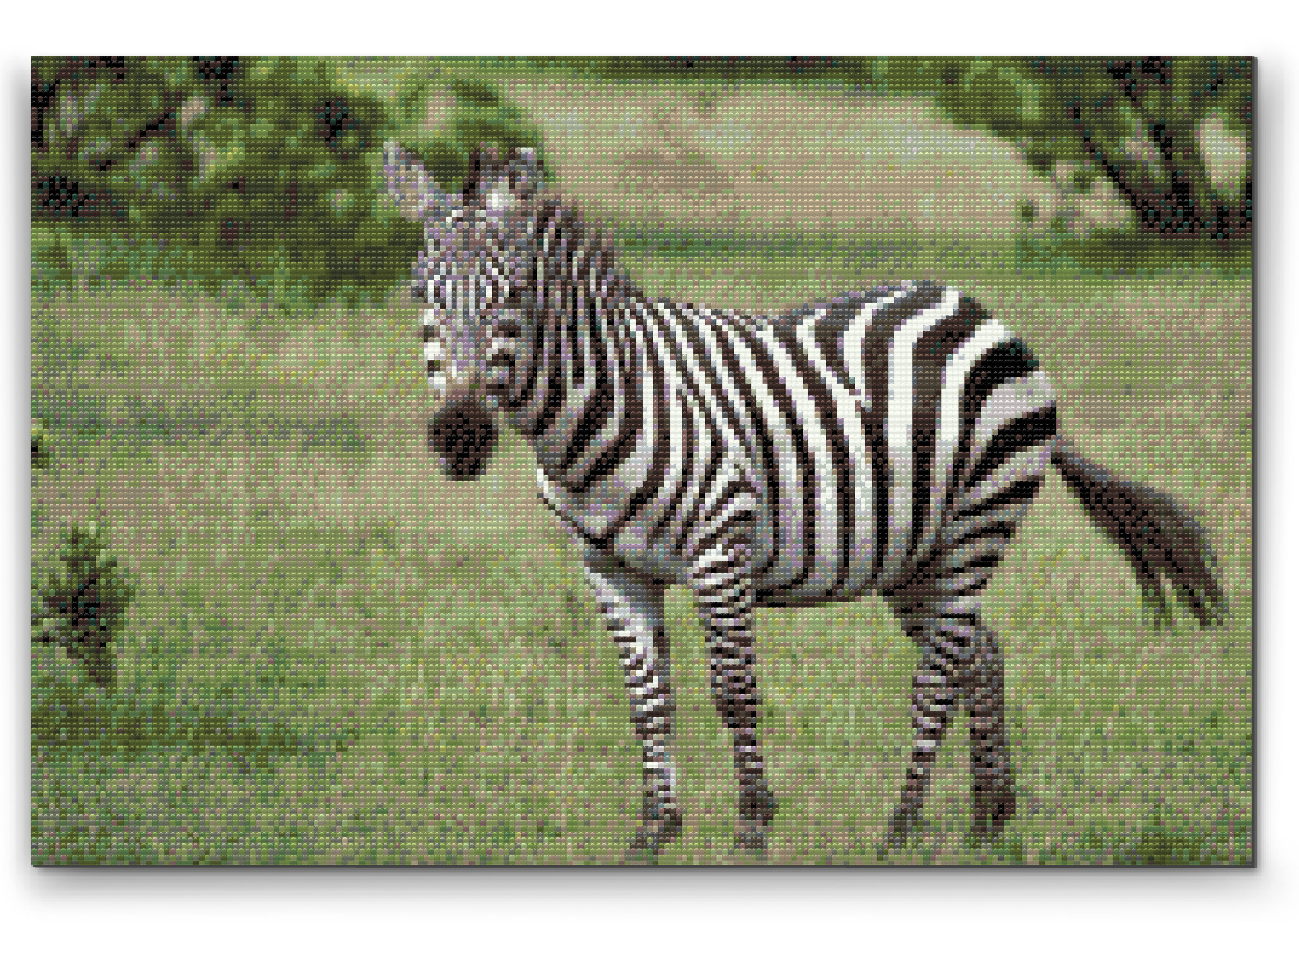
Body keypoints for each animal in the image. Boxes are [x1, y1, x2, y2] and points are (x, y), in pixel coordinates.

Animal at [384, 142, 1226, 858]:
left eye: (514, 296)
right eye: (422, 293)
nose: (460, 436)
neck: (602, 408)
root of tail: (977, 309)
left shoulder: (719, 548)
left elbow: (733, 692)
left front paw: (752, 827)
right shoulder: (609, 566)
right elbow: (648, 701)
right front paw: (652, 834)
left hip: (977, 521)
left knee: (937, 677)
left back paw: (900, 828)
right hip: (911, 551)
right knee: (978, 654)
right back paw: (989, 818)